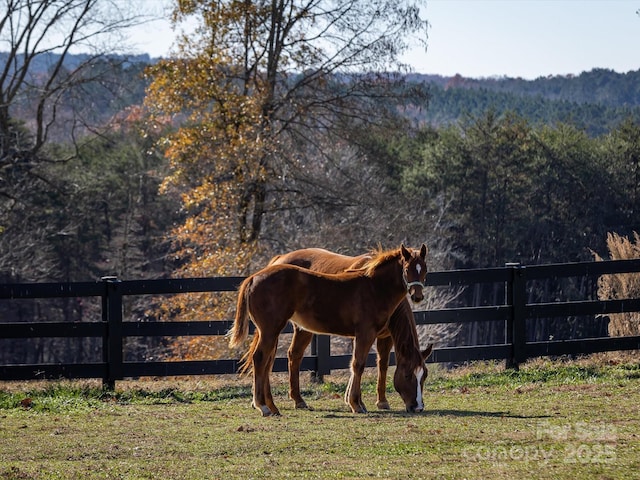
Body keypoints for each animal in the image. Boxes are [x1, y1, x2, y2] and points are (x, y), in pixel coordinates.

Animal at [230, 246, 430, 414]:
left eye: (425, 270)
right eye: (407, 375)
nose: (417, 407)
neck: (374, 287)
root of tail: (253, 278)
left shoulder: (372, 335)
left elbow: (363, 364)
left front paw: (359, 402)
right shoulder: (365, 333)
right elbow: (358, 364)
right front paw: (356, 404)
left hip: (276, 331)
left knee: (270, 360)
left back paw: (274, 406)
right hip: (270, 330)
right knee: (261, 358)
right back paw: (263, 406)